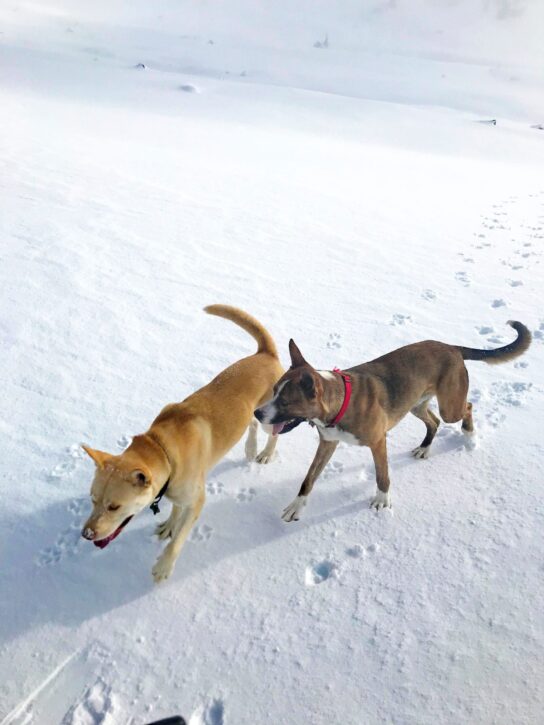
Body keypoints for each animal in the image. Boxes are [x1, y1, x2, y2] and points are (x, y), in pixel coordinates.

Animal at [81, 305, 283, 582]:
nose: (86, 535)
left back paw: (265, 453)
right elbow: (175, 511)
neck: (163, 448)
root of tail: (265, 353)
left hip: (268, 417)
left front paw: (163, 566)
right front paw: (169, 525)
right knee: (250, 425)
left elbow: (178, 540)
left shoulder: (197, 500)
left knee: (273, 432)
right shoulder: (173, 489)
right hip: (251, 413)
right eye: (92, 499)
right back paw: (251, 448)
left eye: (114, 506)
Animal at [255, 321, 531, 521]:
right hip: (416, 404)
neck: (339, 405)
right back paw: (425, 448)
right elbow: (309, 478)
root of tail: (451, 347)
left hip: (449, 405)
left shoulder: (378, 442)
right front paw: (297, 505)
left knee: (466, 408)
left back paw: (469, 434)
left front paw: (382, 501)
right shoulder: (328, 443)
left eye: (285, 402)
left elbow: (382, 475)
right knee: (433, 422)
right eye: (274, 390)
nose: (257, 414)